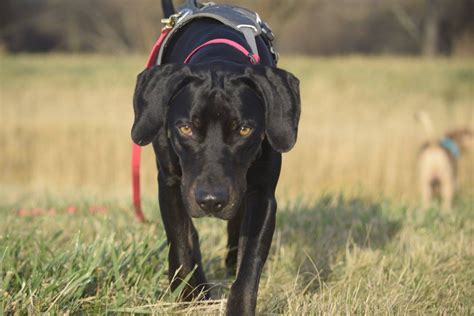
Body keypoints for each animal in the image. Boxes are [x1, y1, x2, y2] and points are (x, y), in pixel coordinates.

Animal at [131, 1, 300, 314]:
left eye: (244, 129)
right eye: (185, 128)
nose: (211, 201)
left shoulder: (262, 195)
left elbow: (249, 264)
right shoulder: (171, 185)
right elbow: (182, 244)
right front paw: (189, 298)